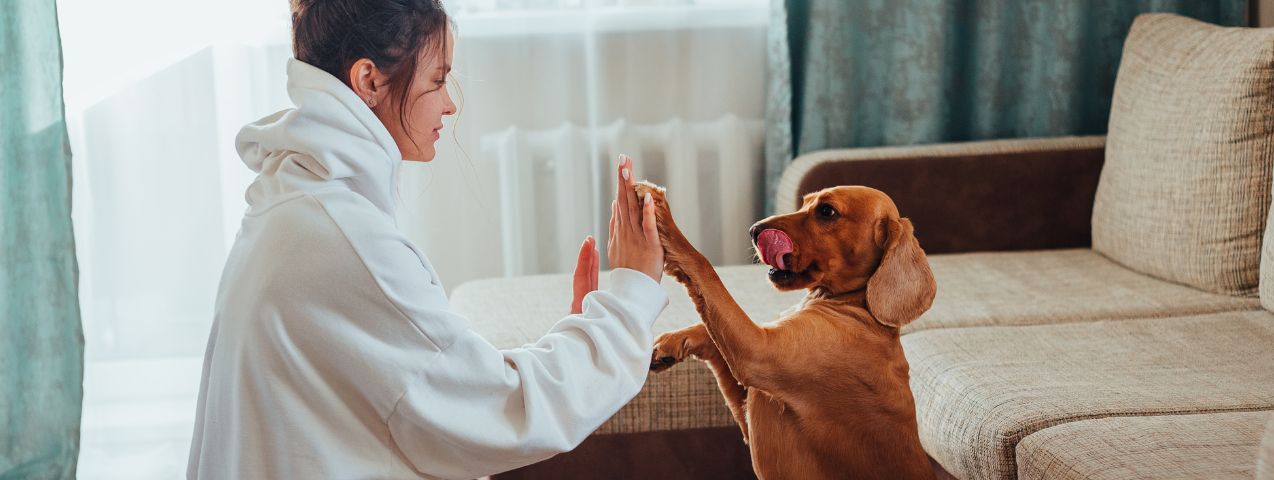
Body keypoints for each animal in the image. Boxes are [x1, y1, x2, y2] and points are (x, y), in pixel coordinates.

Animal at [637, 180, 937, 476]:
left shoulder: (756, 352)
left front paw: (660, 212)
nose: (754, 230)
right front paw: (670, 343)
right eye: (804, 203)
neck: (856, 305)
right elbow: (708, 329)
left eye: (826, 211)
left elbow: (703, 266)